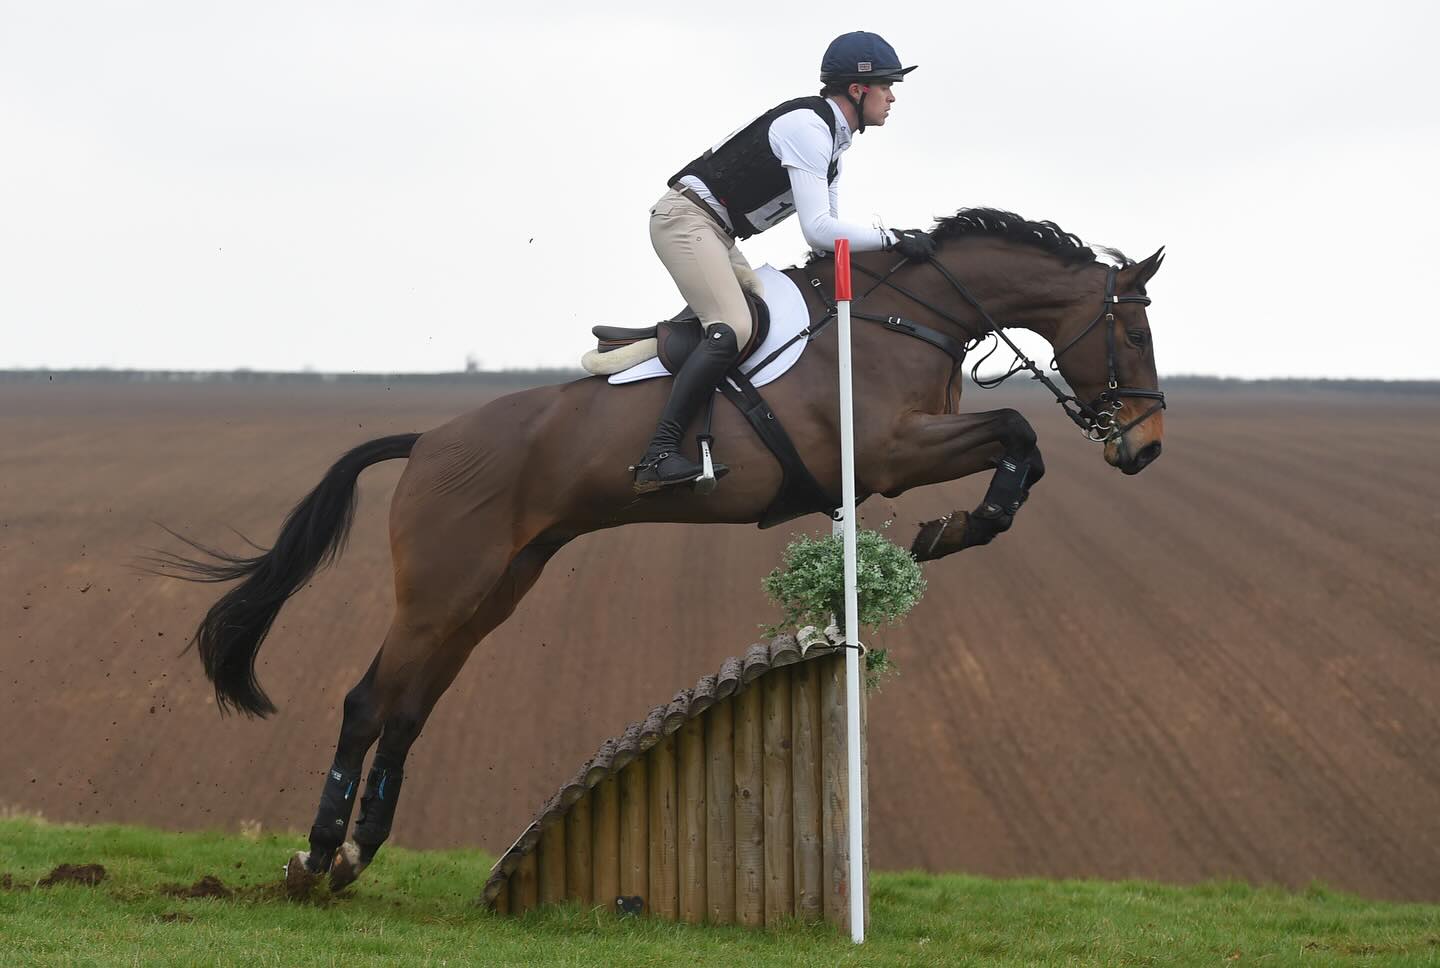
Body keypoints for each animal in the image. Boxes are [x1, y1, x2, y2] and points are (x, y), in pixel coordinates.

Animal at [157, 210, 1163, 893]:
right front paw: (957, 528)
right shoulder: (886, 453)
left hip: (496, 588)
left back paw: (360, 851)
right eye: (1135, 328)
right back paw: (318, 854)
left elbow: (1020, 444)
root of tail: (431, 441)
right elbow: (1017, 434)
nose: (1147, 448)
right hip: (443, 586)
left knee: (407, 710)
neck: (897, 319)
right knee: (369, 703)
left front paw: (959, 527)